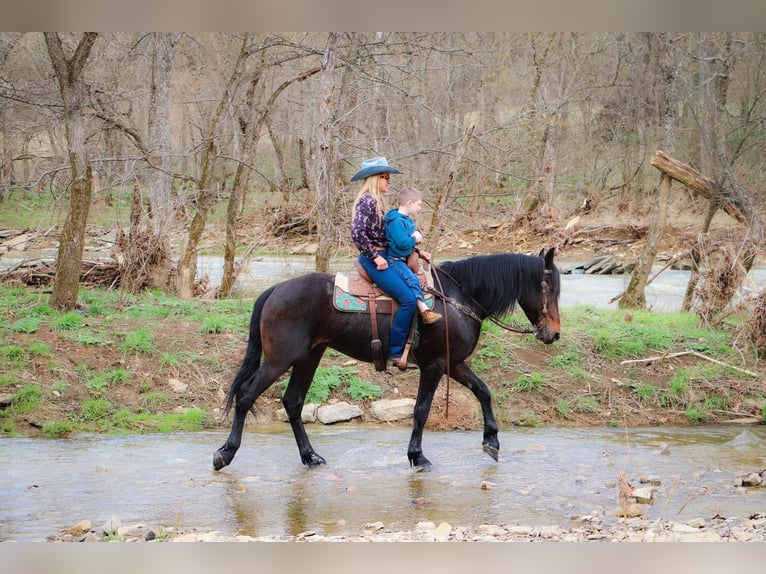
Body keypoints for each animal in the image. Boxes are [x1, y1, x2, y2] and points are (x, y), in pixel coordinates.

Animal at [213, 248, 560, 472]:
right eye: (550, 288)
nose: (554, 334)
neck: (456, 300)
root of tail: (274, 290)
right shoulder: (434, 366)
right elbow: (421, 411)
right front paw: (417, 457)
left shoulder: (453, 364)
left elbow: (484, 392)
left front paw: (491, 442)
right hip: (279, 360)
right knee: (246, 396)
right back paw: (225, 454)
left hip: (308, 357)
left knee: (293, 403)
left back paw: (310, 457)